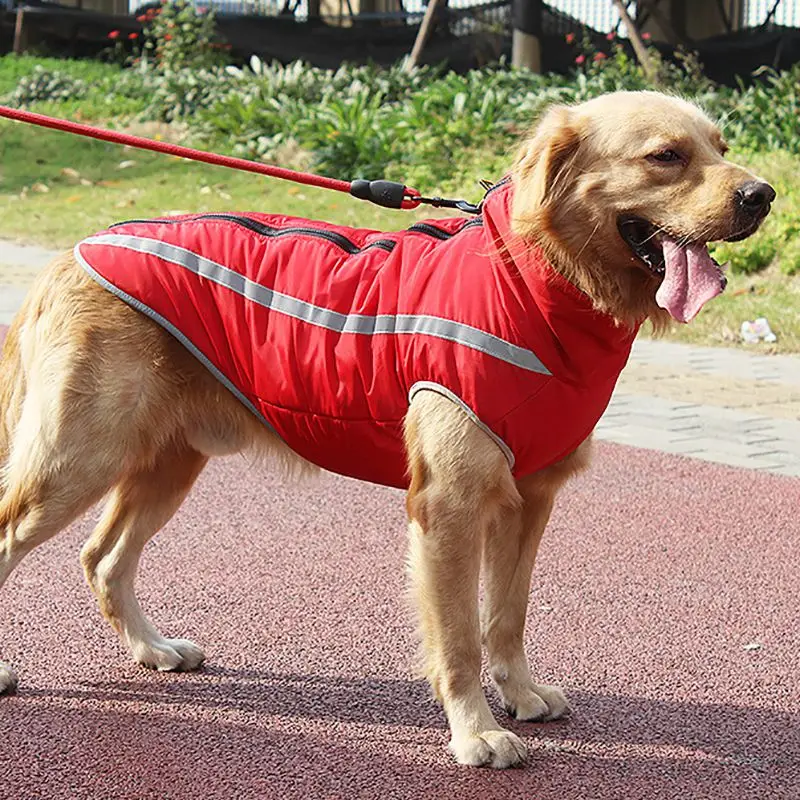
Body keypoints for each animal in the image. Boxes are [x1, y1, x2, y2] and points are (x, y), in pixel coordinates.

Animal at [0, 92, 776, 768]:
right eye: (666, 156)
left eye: (721, 146)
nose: (763, 195)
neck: (534, 279)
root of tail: (70, 252)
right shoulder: (448, 506)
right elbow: (459, 639)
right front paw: (476, 733)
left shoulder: (529, 500)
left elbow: (507, 615)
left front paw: (521, 694)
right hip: (74, 459)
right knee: (20, 540)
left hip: (167, 460)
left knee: (102, 557)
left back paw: (153, 648)